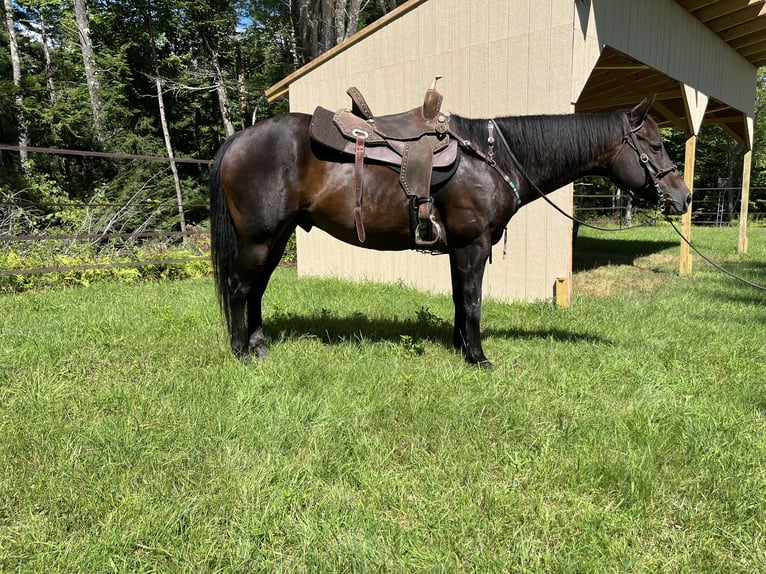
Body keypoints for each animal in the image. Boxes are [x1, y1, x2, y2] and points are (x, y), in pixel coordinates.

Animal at [210, 95, 696, 368]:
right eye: (655, 146)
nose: (684, 197)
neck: (492, 158)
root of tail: (238, 139)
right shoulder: (472, 245)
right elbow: (474, 301)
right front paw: (478, 358)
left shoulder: (458, 249)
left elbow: (461, 301)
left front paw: (461, 347)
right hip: (259, 238)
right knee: (238, 288)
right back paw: (240, 352)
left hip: (276, 238)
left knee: (255, 291)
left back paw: (259, 345)